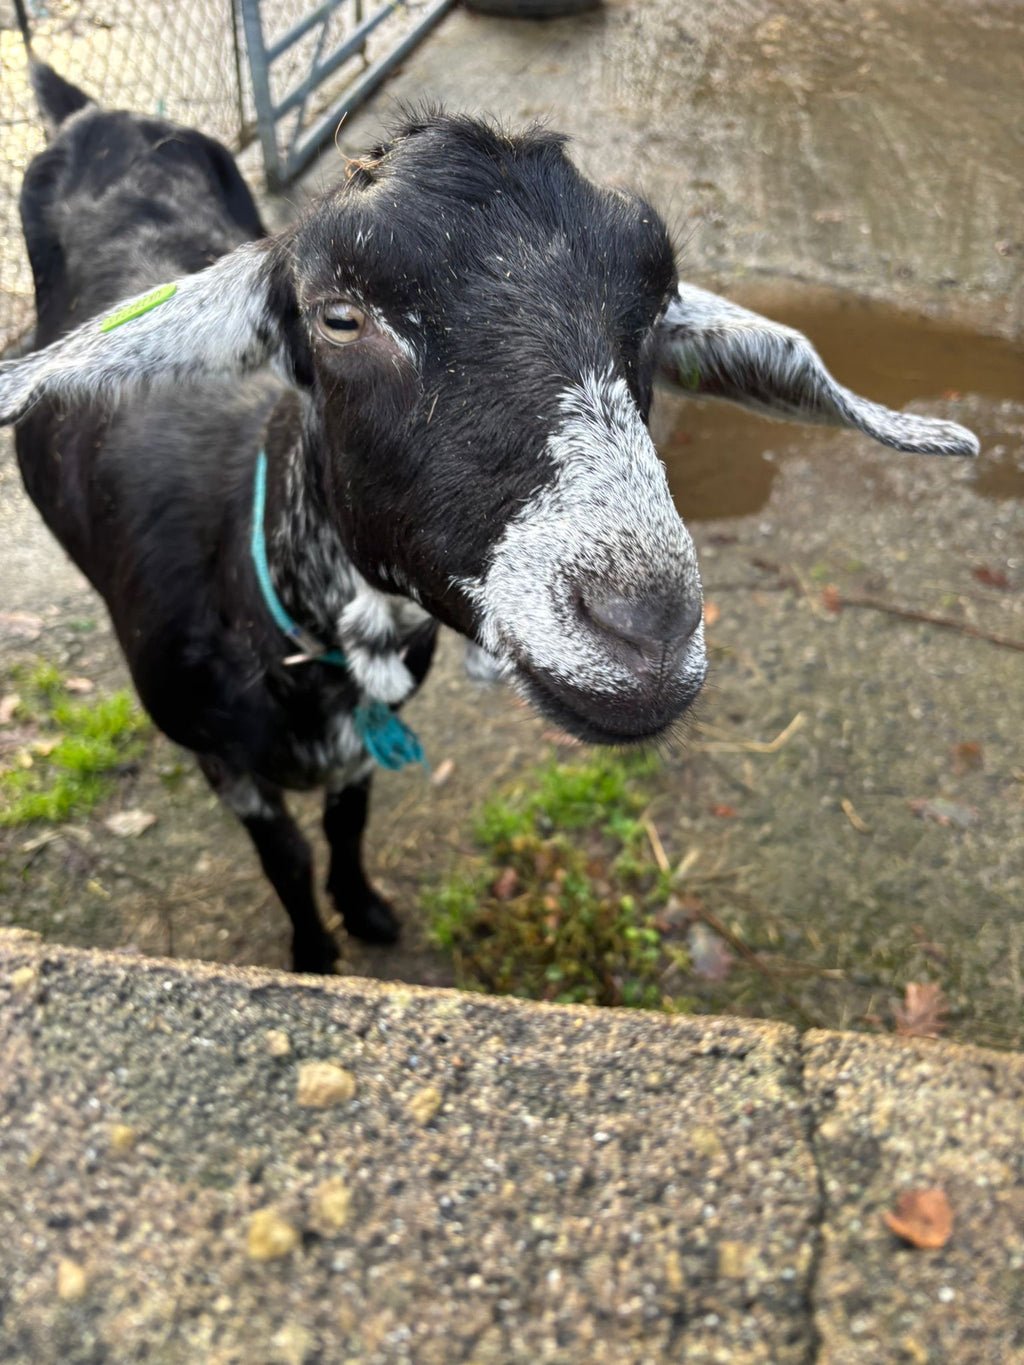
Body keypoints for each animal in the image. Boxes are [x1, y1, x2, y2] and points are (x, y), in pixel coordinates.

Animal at [0, 63, 977, 972]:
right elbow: (286, 859)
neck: (261, 595)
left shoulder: (365, 741)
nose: (647, 630)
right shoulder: (227, 765)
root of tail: (88, 110)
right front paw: (317, 950)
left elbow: (348, 825)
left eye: (658, 304)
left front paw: (366, 912)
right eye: (339, 317)